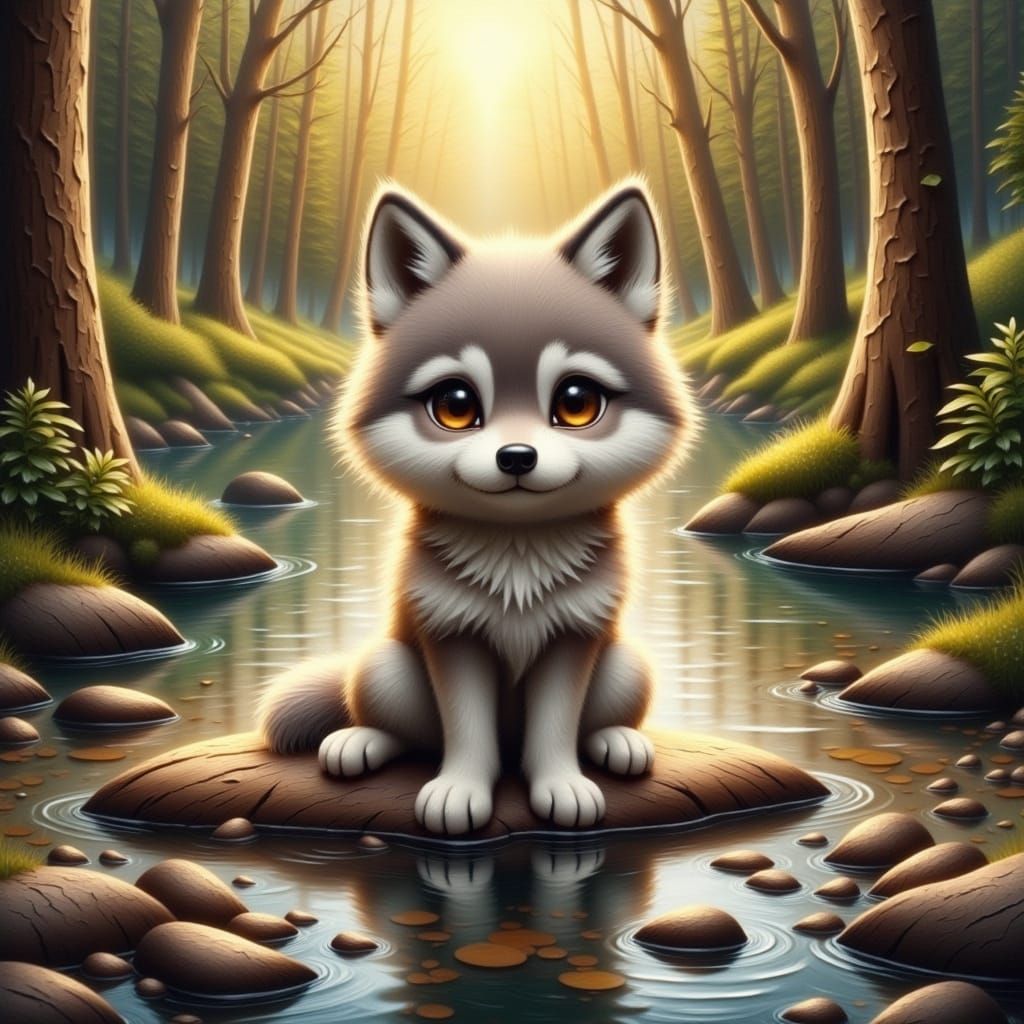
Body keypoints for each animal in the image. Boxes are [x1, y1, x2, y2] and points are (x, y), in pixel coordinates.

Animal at [257, 180, 693, 836]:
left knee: (600, 719)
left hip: (626, 664)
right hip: (385, 665)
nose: (516, 457)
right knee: (406, 731)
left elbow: (555, 729)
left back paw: (619, 742)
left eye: (577, 402)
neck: (516, 559)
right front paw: (459, 791)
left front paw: (562, 786)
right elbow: (464, 732)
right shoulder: (450, 633)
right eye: (456, 406)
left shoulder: (575, 636)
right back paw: (360, 742)